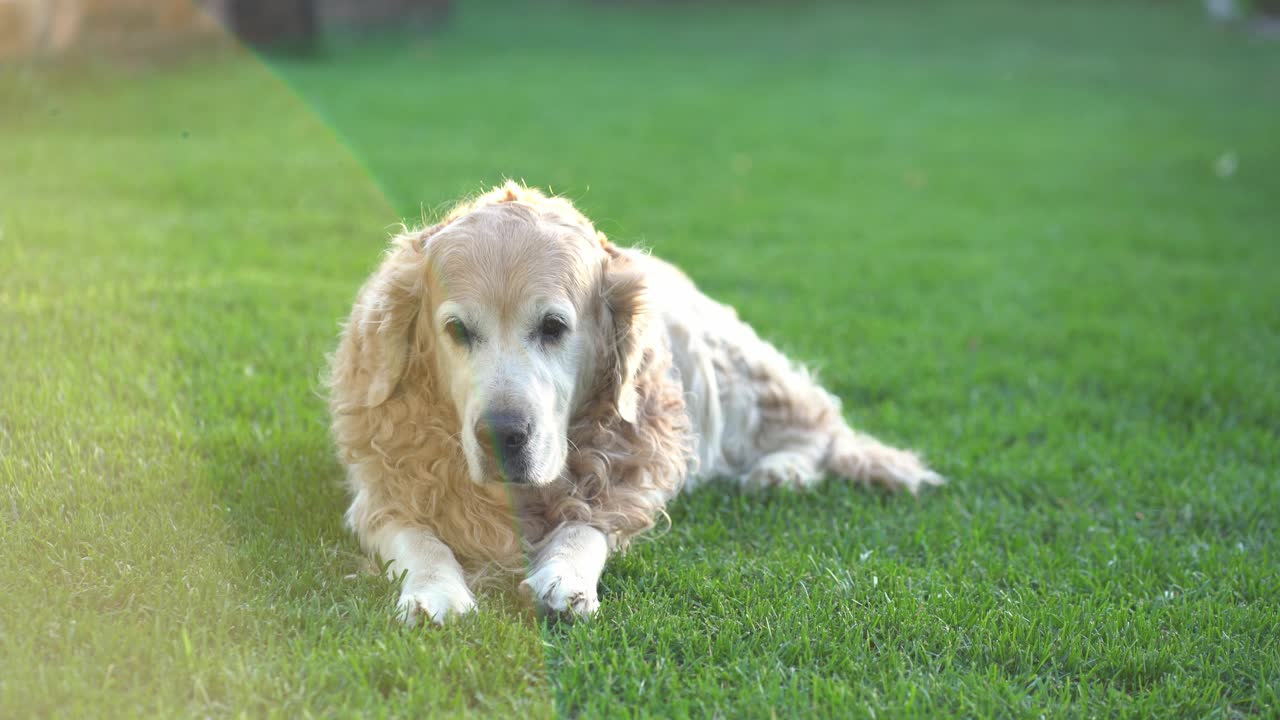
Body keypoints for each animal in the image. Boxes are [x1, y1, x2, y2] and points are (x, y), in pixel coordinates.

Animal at [327, 183, 942, 622]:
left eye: (553, 327)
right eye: (457, 330)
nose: (502, 435)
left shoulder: (629, 475)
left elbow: (588, 525)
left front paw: (566, 576)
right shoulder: (382, 488)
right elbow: (416, 535)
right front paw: (435, 589)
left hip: (735, 379)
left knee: (820, 426)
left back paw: (781, 470)